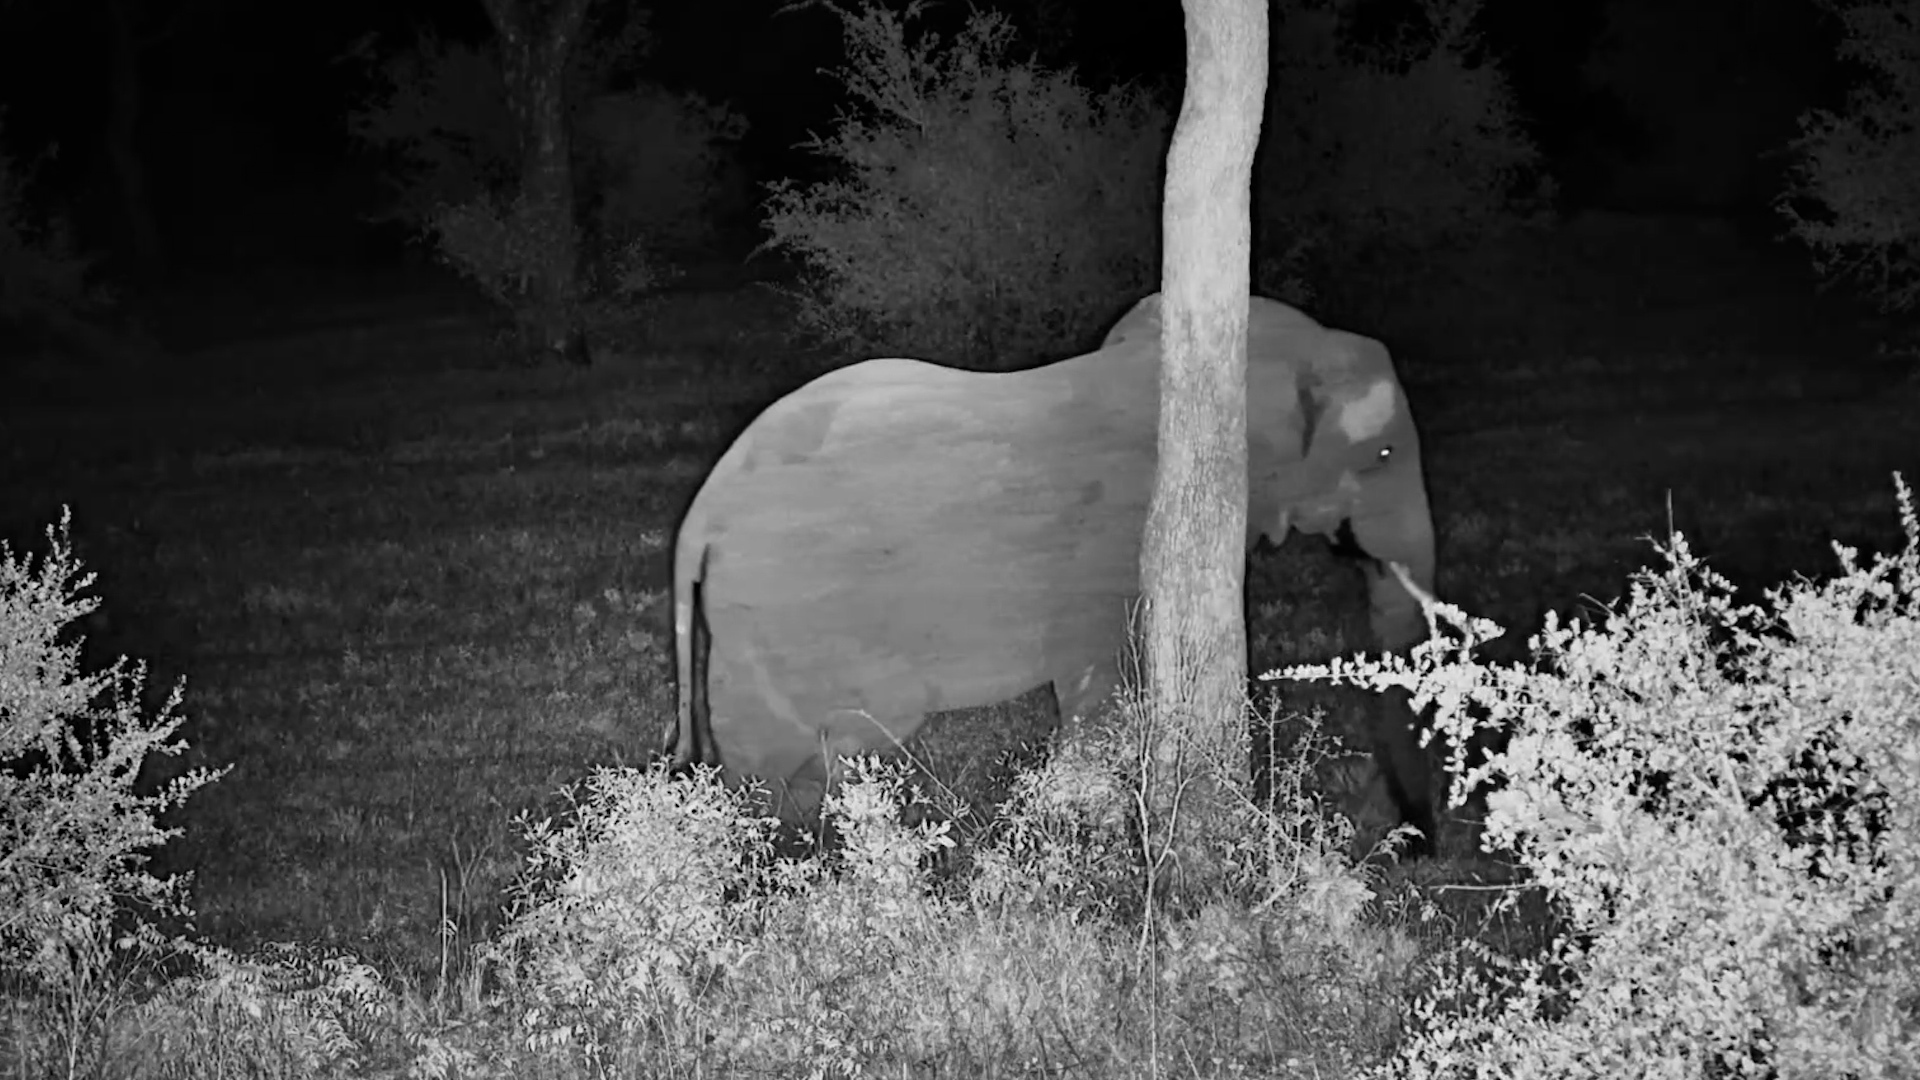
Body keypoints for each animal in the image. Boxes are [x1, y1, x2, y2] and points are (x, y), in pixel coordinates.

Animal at [667, 292, 1439, 843]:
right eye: (1384, 455)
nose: (1416, 844)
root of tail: (700, 513)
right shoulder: (1122, 547)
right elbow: (1106, 686)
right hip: (777, 612)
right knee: (778, 755)